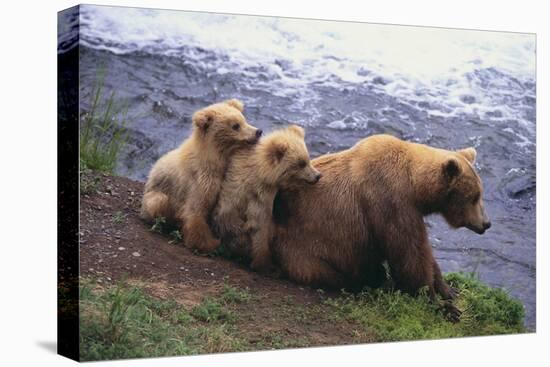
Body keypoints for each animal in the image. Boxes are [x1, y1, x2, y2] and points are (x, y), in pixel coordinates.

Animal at [274, 134, 494, 314]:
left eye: (480, 193)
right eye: (475, 196)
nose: (486, 223)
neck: (414, 185)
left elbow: (423, 251)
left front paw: (449, 290)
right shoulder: (389, 201)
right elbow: (409, 254)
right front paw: (441, 305)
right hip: (307, 248)